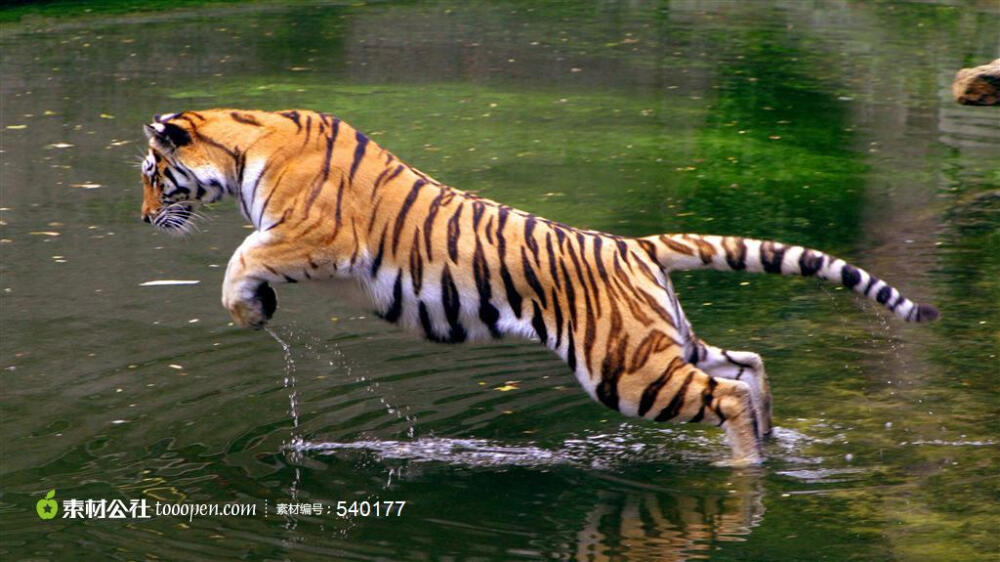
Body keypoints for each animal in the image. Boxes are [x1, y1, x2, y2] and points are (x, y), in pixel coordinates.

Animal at [139, 108, 936, 464]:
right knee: (747, 363)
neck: (246, 142)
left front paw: (251, 310)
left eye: (151, 174)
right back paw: (771, 441)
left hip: (625, 368)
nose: (144, 219)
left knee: (727, 392)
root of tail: (634, 245)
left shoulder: (311, 235)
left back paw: (746, 463)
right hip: (662, 340)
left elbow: (238, 260)